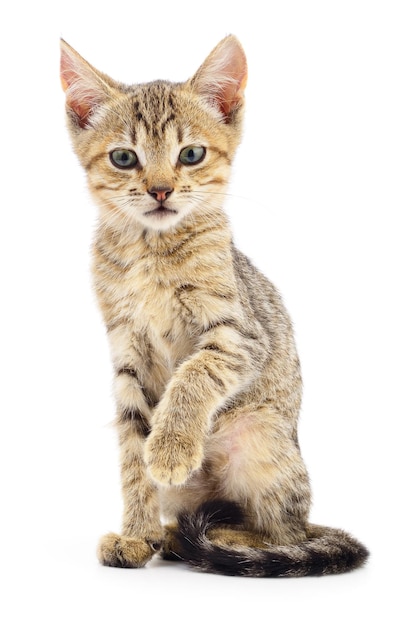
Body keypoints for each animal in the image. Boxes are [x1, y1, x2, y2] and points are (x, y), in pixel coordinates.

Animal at [59, 35, 368, 576]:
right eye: (123, 158)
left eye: (191, 154)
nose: (161, 189)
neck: (152, 250)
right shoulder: (126, 354)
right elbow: (132, 456)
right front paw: (135, 533)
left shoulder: (239, 337)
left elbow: (193, 375)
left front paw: (170, 448)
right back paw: (167, 534)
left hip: (262, 443)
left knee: (282, 533)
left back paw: (223, 537)